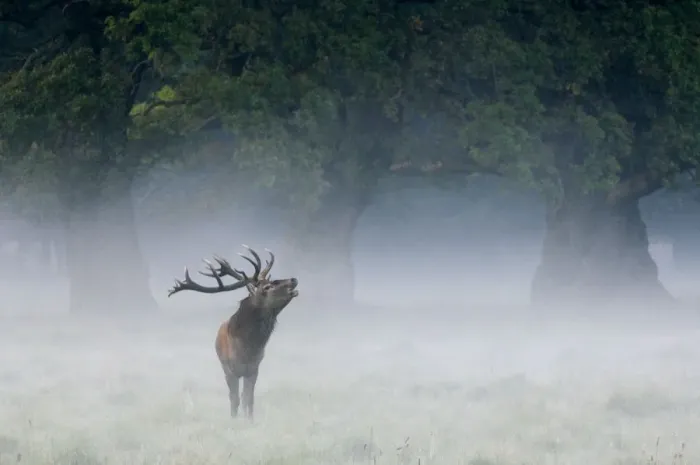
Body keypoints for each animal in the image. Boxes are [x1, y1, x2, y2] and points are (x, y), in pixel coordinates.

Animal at [167, 245, 299, 420]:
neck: (248, 348)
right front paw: (234, 420)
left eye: (272, 281)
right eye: (267, 287)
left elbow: (248, 399)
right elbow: (234, 398)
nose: (293, 279)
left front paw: (250, 420)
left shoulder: (254, 369)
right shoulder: (230, 370)